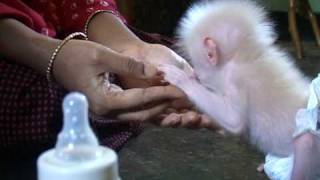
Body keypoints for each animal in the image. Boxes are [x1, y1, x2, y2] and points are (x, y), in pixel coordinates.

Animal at [160, 0, 320, 179]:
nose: (196, 74)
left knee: (307, 140)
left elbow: (233, 120)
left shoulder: (235, 78)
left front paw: (183, 79)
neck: (243, 54)